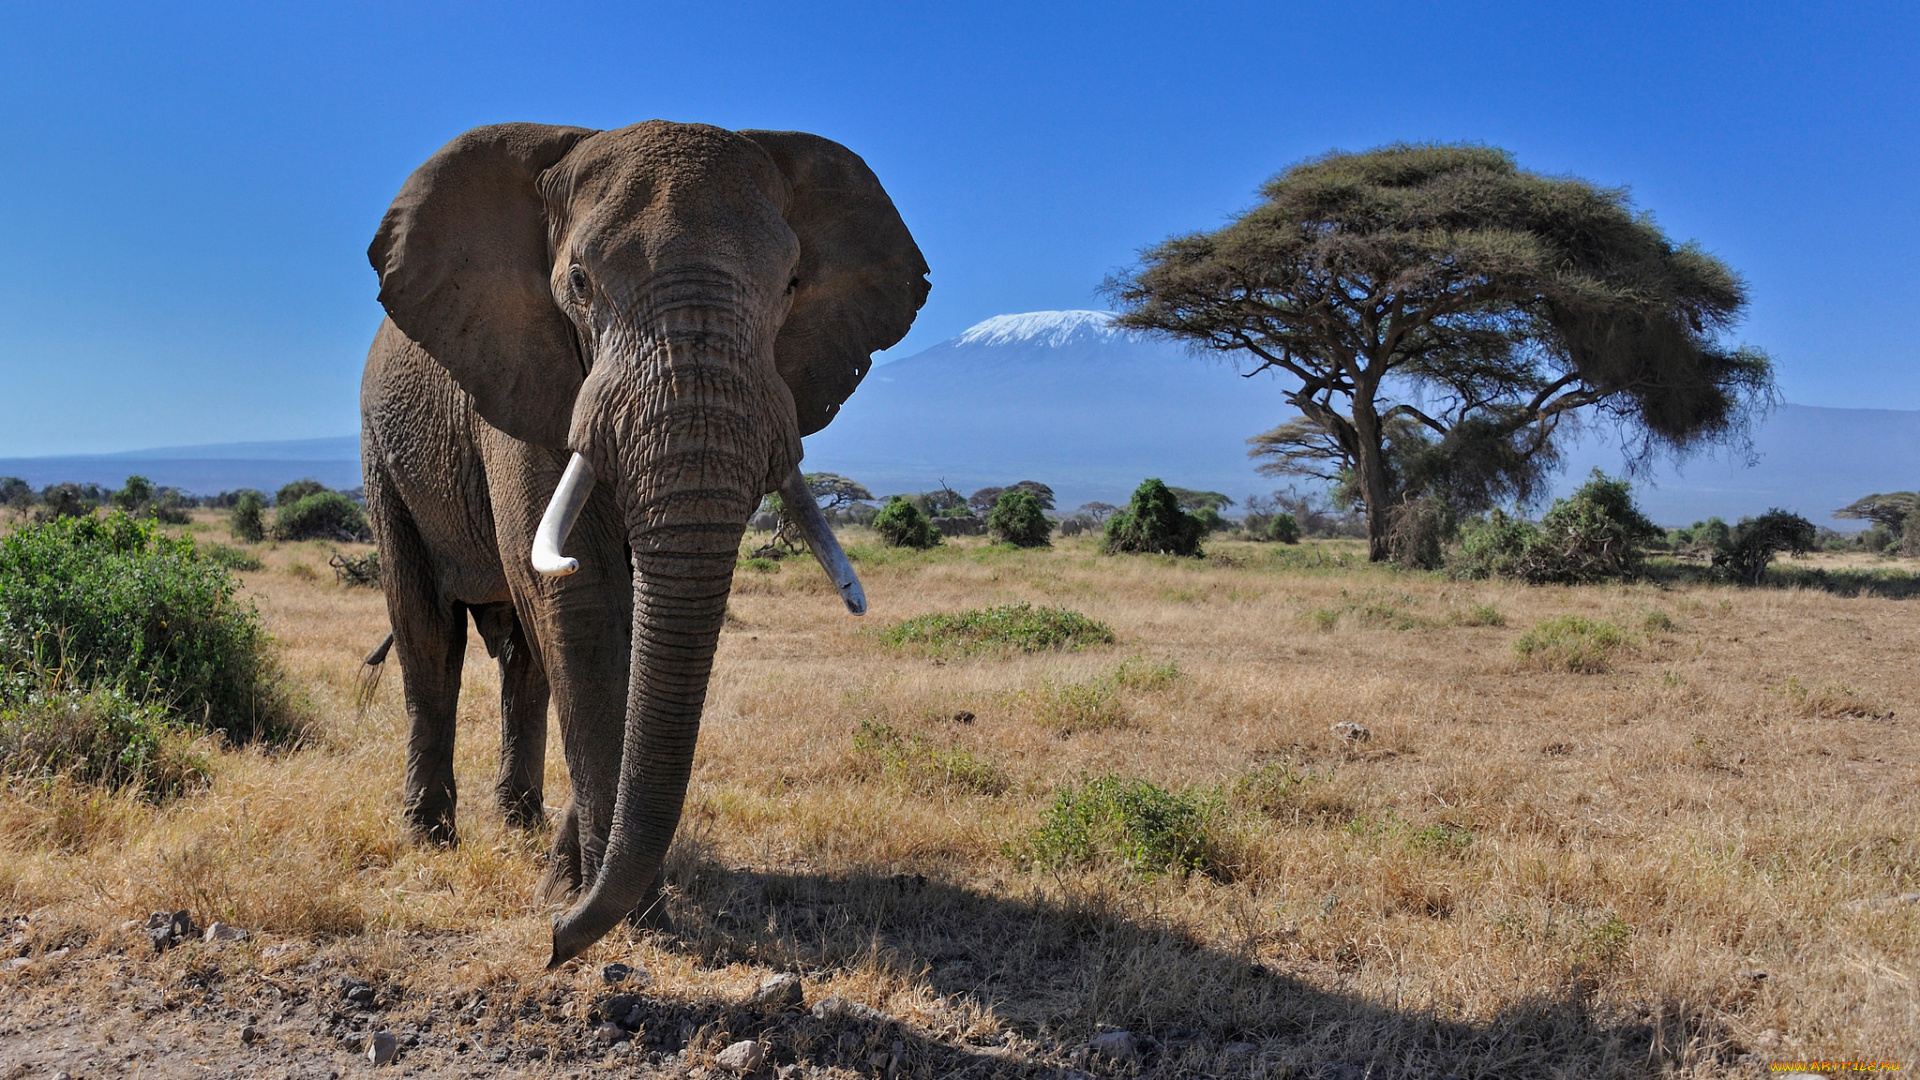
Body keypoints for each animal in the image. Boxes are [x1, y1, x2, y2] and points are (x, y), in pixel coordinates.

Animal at [359, 120, 928, 967]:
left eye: (792, 284)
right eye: (580, 283)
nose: (553, 945)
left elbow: (628, 624)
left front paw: (574, 885)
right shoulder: (524, 368)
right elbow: (583, 596)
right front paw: (622, 913)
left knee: (525, 659)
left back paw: (519, 827)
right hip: (382, 450)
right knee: (428, 632)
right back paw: (430, 840)